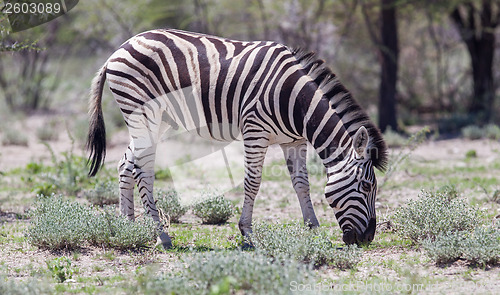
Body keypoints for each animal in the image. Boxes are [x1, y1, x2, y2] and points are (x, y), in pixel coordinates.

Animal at [88, 28, 388, 249]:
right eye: (366, 186)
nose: (367, 239)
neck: (296, 103)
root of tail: (119, 49)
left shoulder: (294, 141)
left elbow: (301, 183)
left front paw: (312, 229)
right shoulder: (256, 131)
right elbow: (253, 182)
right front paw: (247, 234)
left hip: (154, 122)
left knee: (126, 164)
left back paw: (128, 229)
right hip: (144, 113)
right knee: (143, 170)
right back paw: (162, 237)